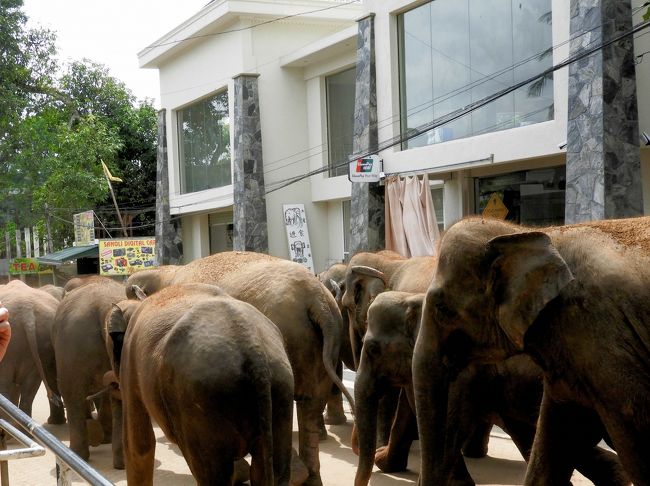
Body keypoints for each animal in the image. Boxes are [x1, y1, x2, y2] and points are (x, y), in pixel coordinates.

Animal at [105, 282, 294, 486]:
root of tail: (253, 349)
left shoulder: (130, 364)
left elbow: (139, 445)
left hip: (200, 402)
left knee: (211, 474)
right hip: (281, 385)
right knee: (274, 470)